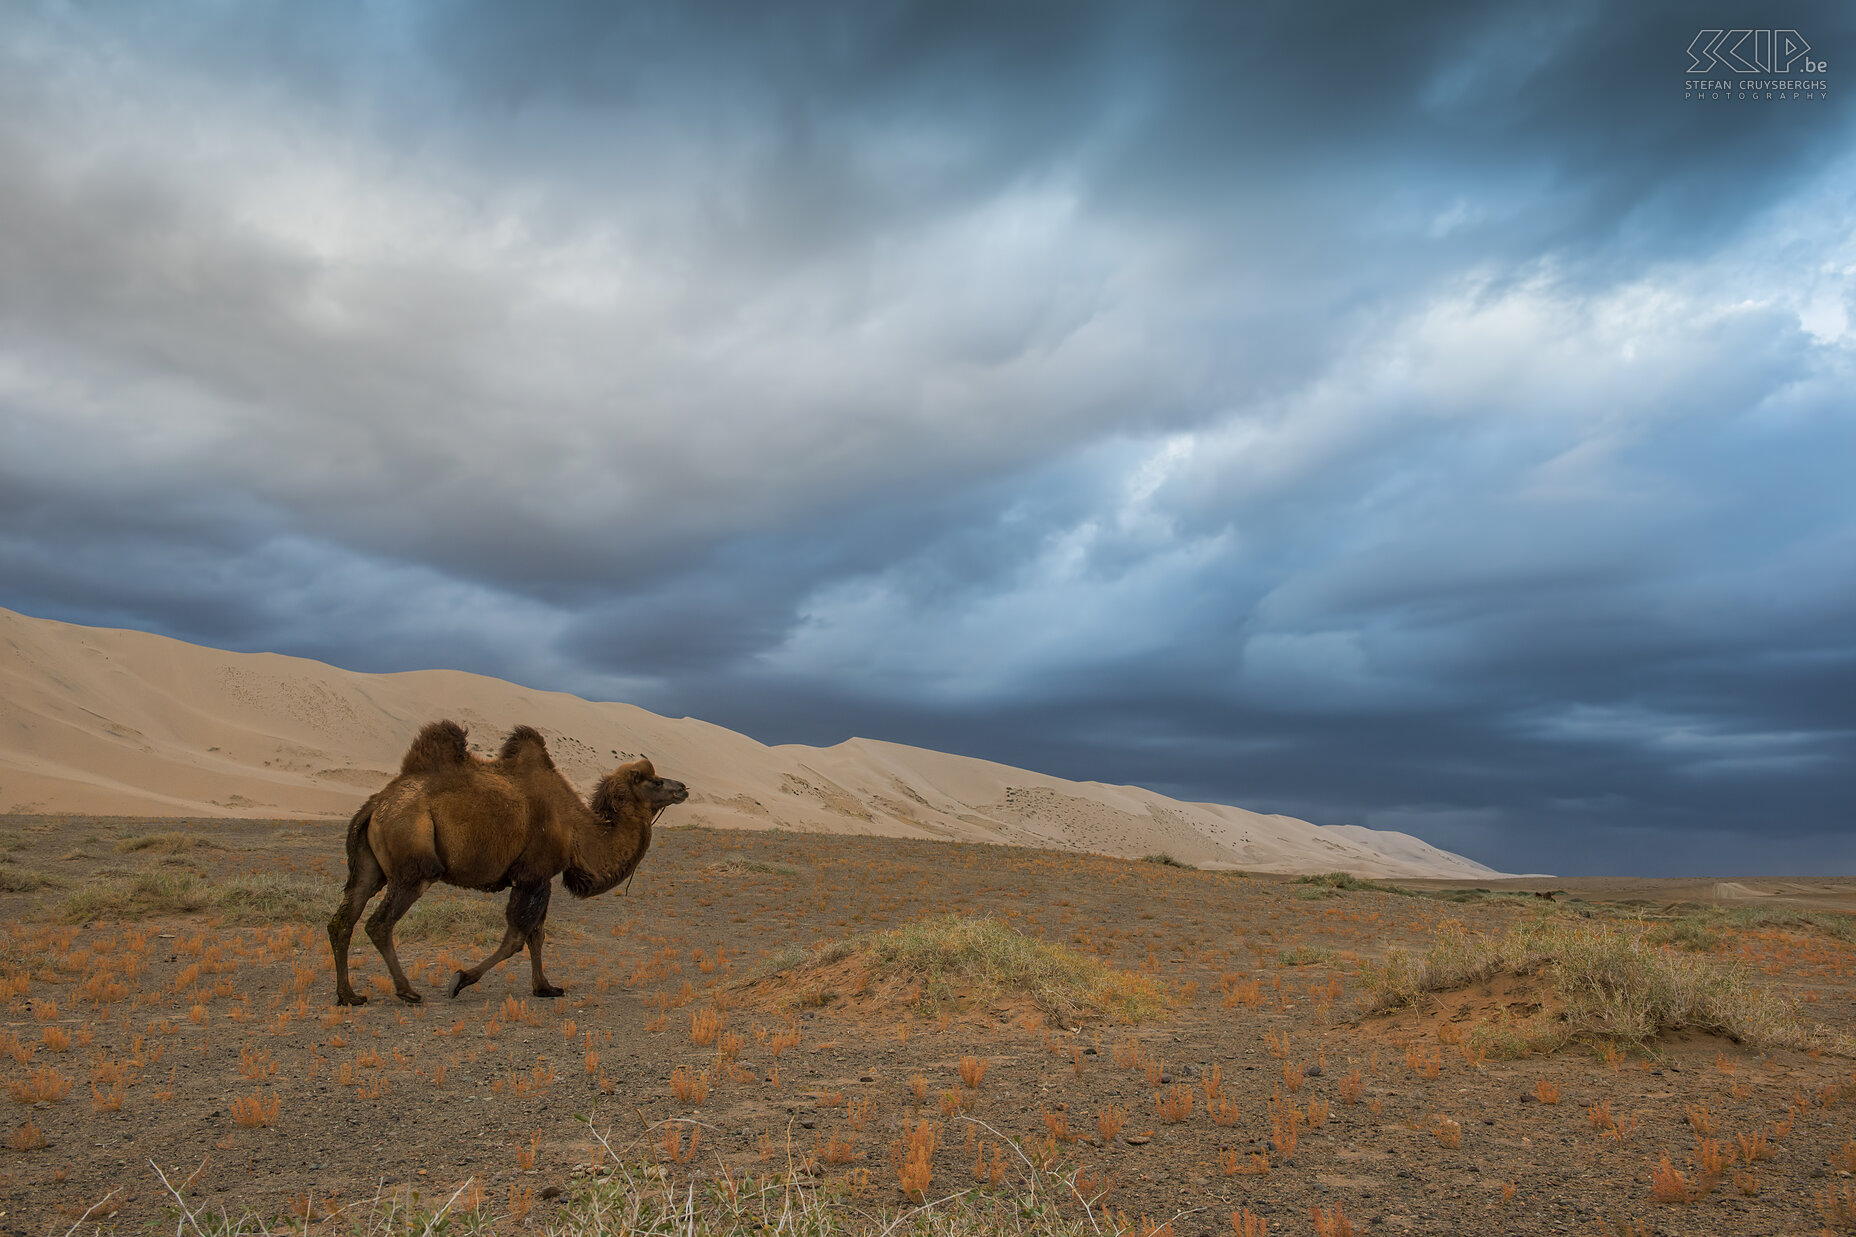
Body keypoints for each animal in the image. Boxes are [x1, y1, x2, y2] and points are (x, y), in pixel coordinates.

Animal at [328, 724, 690, 1002]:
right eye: (656, 781)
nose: (684, 787)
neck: (577, 828)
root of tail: (376, 804)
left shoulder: (541, 878)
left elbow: (536, 935)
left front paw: (545, 988)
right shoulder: (533, 874)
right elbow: (516, 937)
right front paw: (459, 980)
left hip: (369, 867)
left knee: (343, 919)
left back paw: (349, 995)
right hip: (413, 865)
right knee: (379, 923)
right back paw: (406, 992)